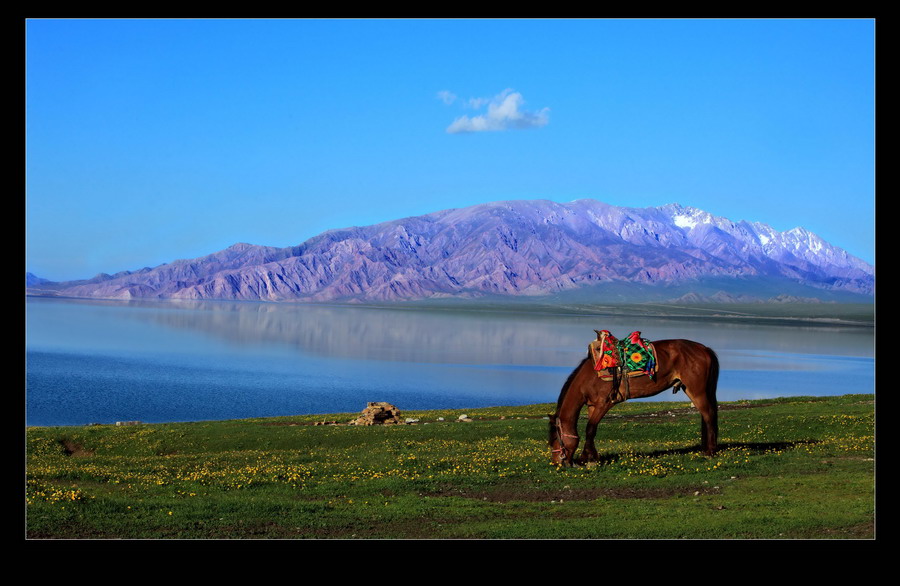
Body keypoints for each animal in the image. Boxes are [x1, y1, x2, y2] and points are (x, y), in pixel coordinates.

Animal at [544, 338, 720, 466]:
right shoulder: (592, 406)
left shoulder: (604, 403)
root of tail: (705, 349)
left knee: (708, 415)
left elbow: (590, 429)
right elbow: (590, 431)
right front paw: (590, 457)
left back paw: (710, 452)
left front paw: (587, 459)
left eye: (554, 439)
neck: (589, 378)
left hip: (697, 391)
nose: (556, 463)